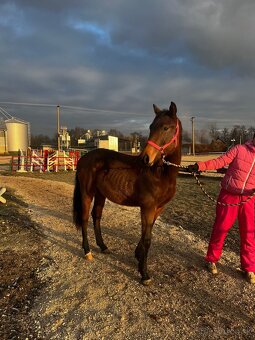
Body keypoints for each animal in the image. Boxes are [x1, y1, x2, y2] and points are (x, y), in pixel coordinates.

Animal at [72, 101, 182, 284]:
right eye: (151, 127)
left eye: (166, 127)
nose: (145, 158)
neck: (159, 173)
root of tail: (83, 158)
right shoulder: (147, 207)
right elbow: (147, 238)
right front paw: (144, 274)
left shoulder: (158, 208)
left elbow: (146, 235)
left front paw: (138, 257)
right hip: (87, 193)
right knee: (85, 218)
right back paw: (87, 251)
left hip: (100, 194)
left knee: (96, 216)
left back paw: (103, 246)